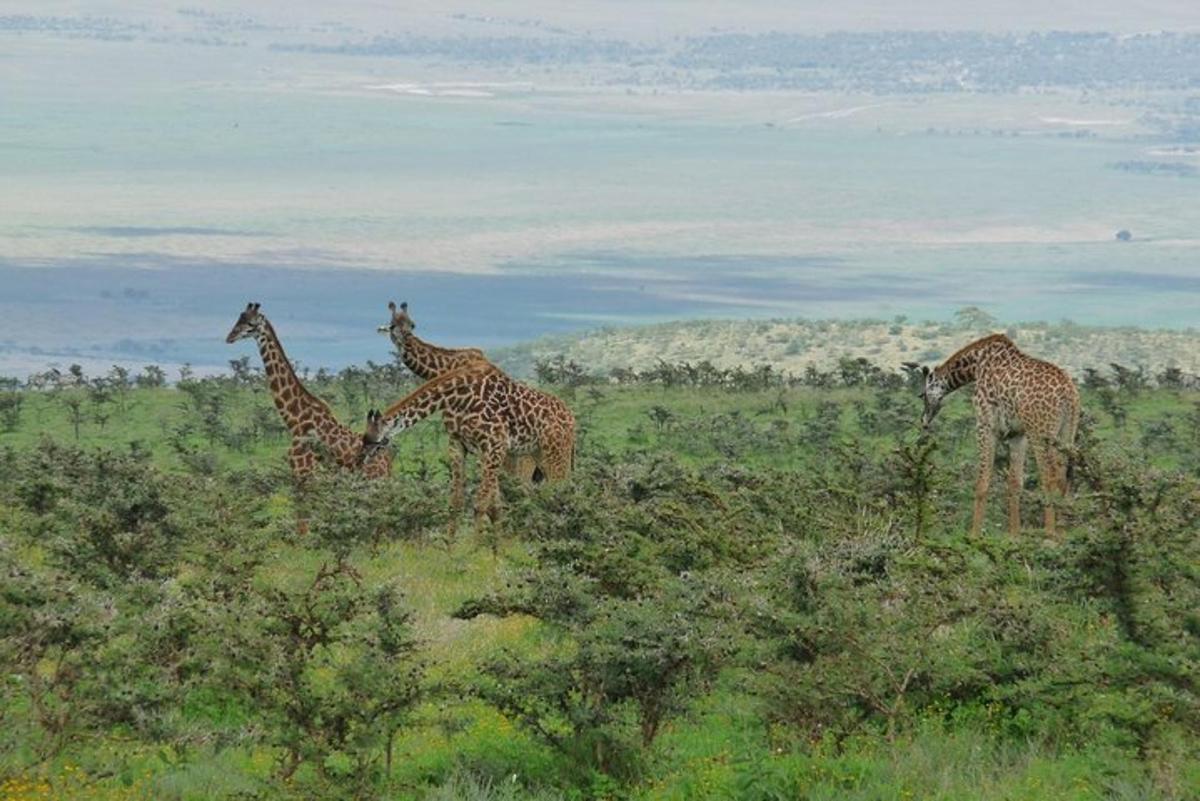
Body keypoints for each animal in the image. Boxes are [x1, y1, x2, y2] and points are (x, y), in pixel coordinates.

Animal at [224, 304, 388, 482]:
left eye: (251, 324)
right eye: (239, 318)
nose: (230, 337)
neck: (295, 420)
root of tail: (388, 464)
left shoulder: (304, 470)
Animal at [352, 359, 573, 534]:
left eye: (376, 441)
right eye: (364, 439)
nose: (359, 460)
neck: (459, 396)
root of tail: (571, 419)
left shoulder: (494, 446)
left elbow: (481, 504)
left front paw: (477, 550)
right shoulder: (458, 445)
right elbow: (459, 502)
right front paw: (451, 548)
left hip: (556, 451)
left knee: (559, 488)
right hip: (539, 454)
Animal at [912, 335, 1084, 534]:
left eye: (922, 395)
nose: (924, 420)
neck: (976, 364)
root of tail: (1069, 394)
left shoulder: (985, 425)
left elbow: (982, 482)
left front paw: (974, 535)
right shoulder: (1018, 433)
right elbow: (1015, 483)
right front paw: (1014, 535)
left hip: (1041, 433)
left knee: (1050, 477)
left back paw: (1050, 535)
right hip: (1067, 432)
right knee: (1064, 479)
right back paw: (1062, 534)